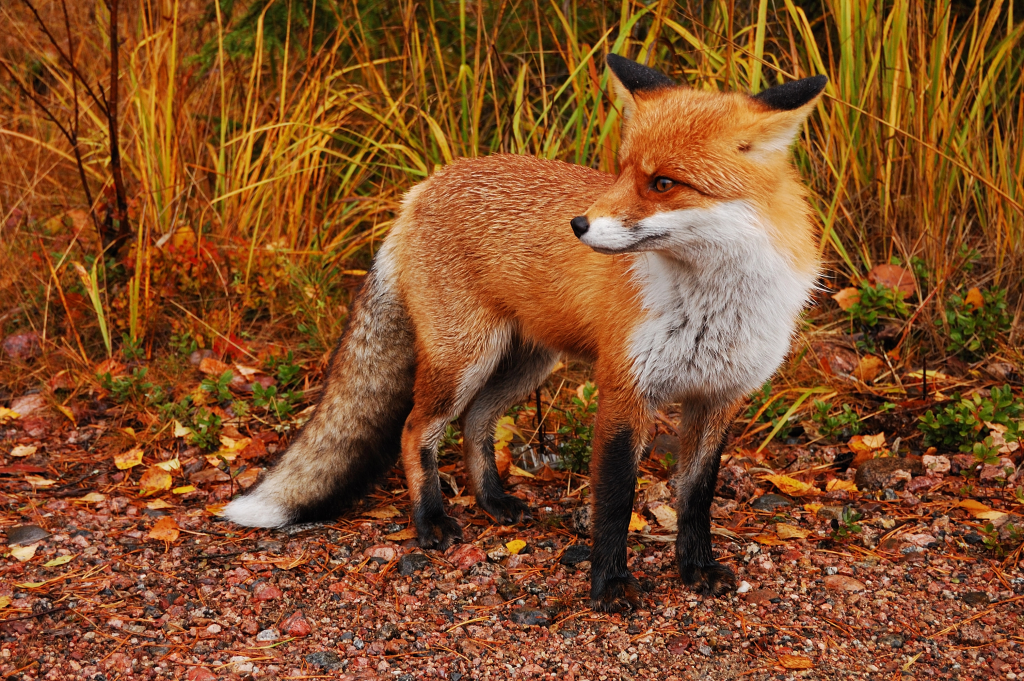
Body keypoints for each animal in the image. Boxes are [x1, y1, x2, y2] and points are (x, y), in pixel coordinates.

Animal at [223, 54, 826, 612]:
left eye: (662, 184)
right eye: (621, 172)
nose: (578, 225)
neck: (711, 307)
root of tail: (426, 184)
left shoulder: (719, 398)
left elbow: (695, 499)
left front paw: (697, 569)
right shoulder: (624, 391)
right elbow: (615, 501)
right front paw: (610, 584)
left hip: (525, 364)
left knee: (475, 422)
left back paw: (492, 500)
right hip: (464, 358)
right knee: (417, 430)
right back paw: (430, 520)